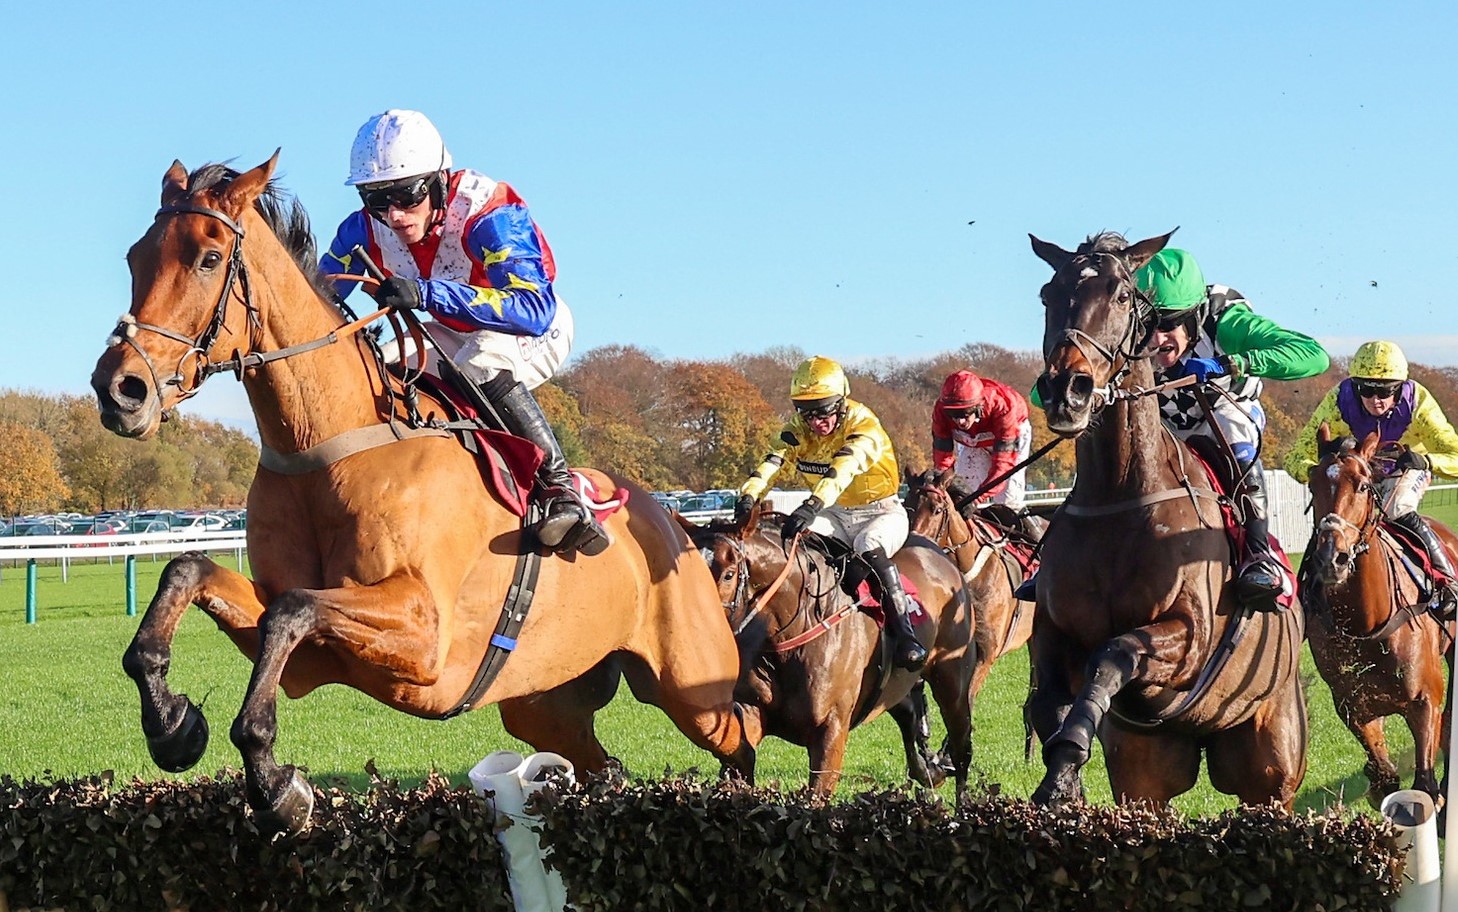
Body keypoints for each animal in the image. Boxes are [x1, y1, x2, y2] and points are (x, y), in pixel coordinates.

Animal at [89, 155, 758, 833]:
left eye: (208, 257)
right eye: (134, 256)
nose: (120, 390)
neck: (330, 447)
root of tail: (673, 522)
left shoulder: (425, 636)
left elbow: (292, 609)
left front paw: (274, 783)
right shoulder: (316, 655)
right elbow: (191, 572)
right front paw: (173, 725)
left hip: (691, 683)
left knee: (743, 731)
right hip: (543, 702)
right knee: (605, 765)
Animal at [1026, 230, 1312, 804]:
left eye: (1121, 296)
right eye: (1048, 295)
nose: (1067, 389)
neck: (1118, 496)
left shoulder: (1187, 635)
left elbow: (1113, 652)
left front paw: (1069, 752)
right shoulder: (1052, 632)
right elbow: (1046, 699)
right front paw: (1062, 781)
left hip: (1271, 769)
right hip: (1146, 774)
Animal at [1306, 425, 1452, 804]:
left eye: (1361, 485)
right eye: (1312, 485)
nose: (1332, 558)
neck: (1367, 621)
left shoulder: (1425, 701)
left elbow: (1425, 785)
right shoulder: (1354, 706)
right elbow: (1385, 778)